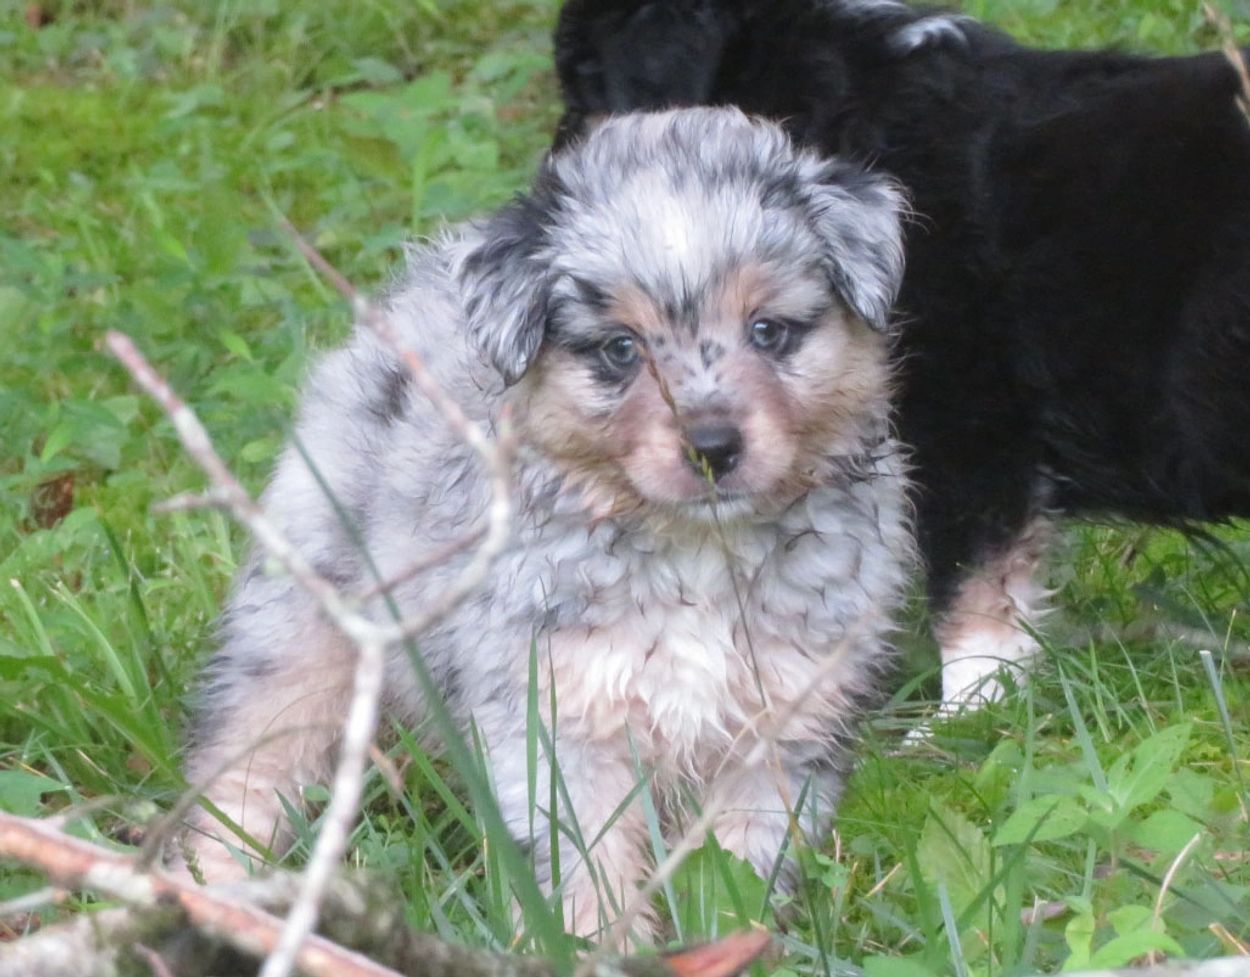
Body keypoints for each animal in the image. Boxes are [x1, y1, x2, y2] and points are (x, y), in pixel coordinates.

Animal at [181, 107, 915, 939]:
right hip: (297, 625)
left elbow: (737, 869)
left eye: (769, 331)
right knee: (245, 768)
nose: (712, 447)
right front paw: (593, 944)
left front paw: (730, 943)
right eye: (620, 349)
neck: (695, 551)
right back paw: (213, 888)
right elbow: (585, 864)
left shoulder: (786, 718)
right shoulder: (555, 722)